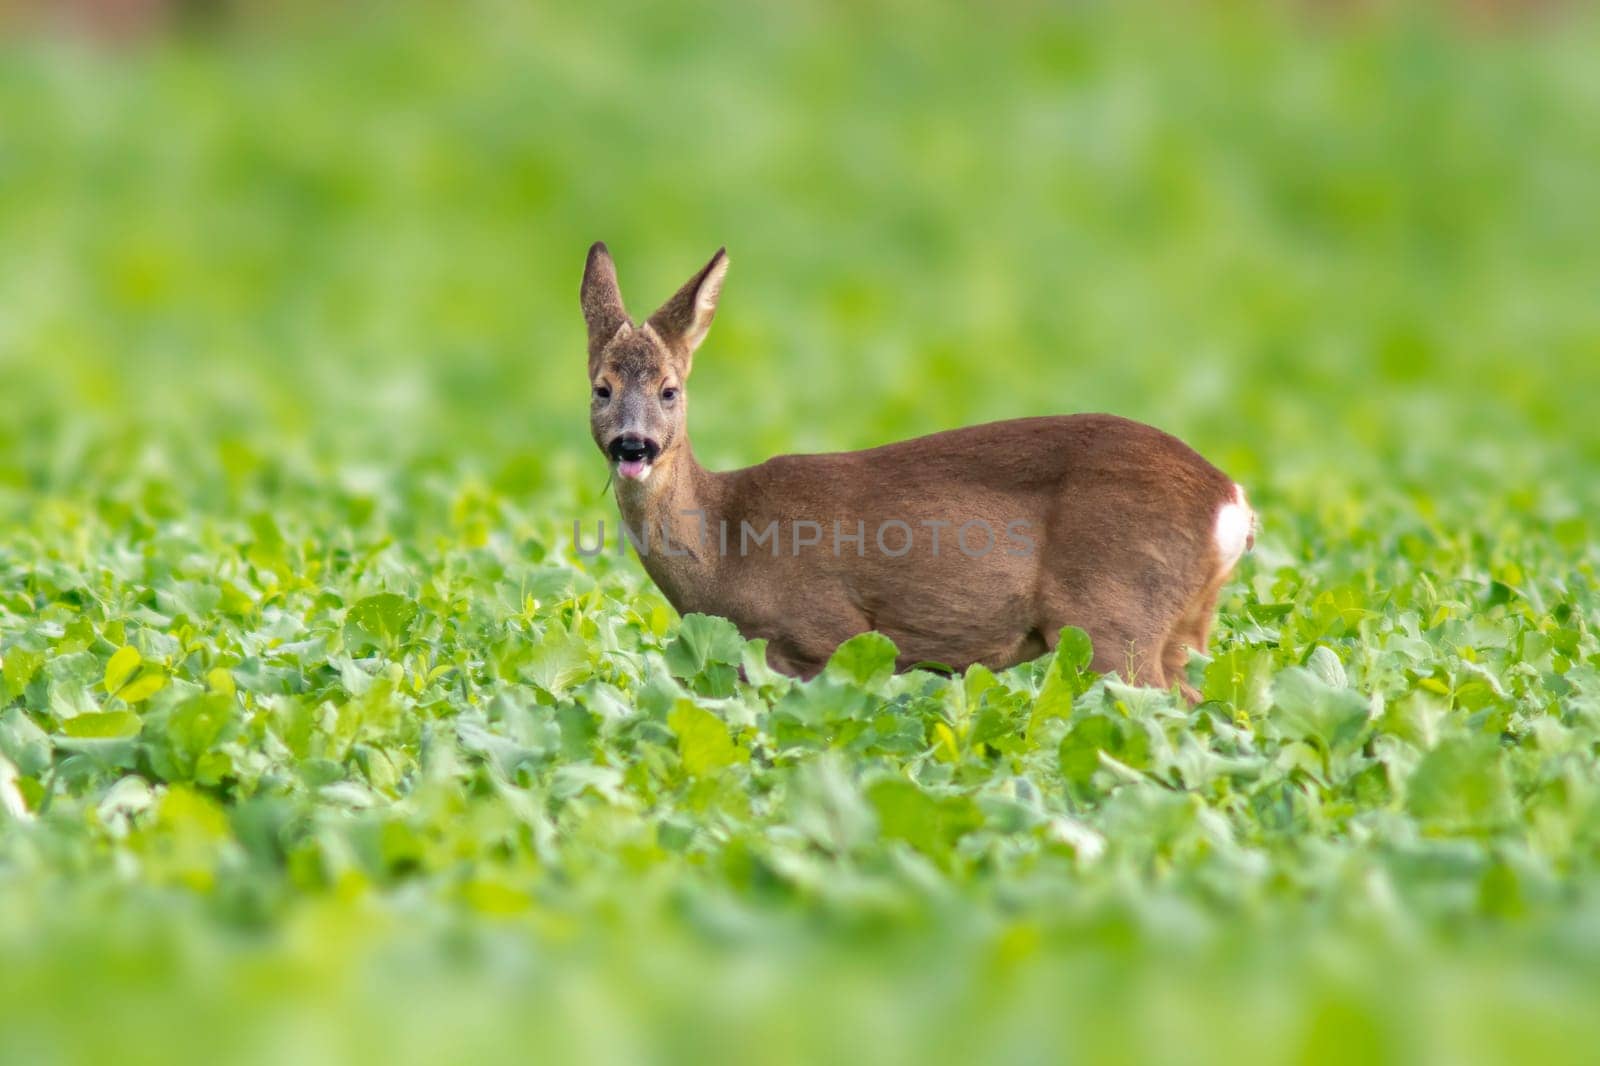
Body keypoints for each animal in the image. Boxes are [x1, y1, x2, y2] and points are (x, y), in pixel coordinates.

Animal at [582, 240, 1254, 697]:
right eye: (601, 388)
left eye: (670, 390)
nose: (634, 446)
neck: (727, 545)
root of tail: (1233, 500)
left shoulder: (823, 633)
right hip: (1179, 625)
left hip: (1116, 620)